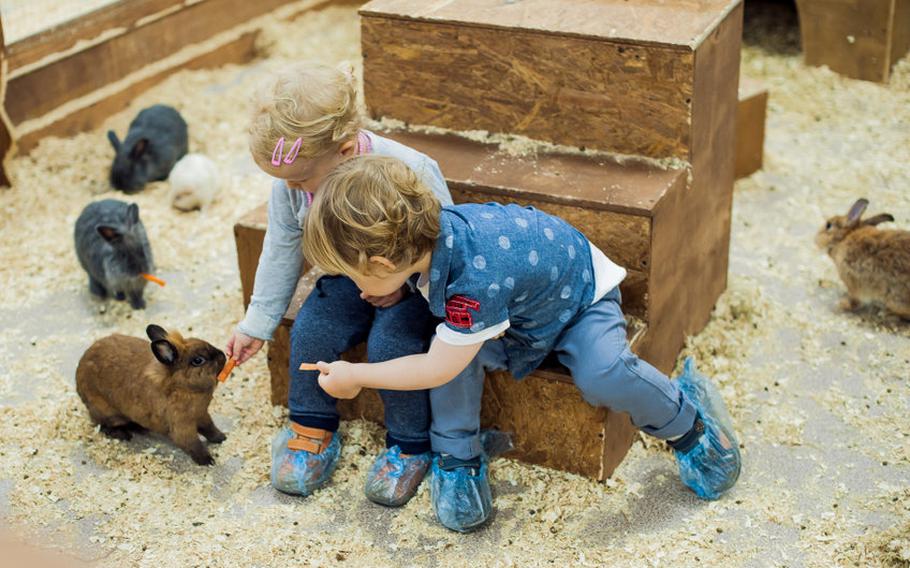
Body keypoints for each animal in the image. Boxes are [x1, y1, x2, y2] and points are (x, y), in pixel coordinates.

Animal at [76, 324, 230, 466]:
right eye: (198, 360)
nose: (222, 355)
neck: (180, 387)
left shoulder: (202, 415)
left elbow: (209, 428)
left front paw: (222, 438)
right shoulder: (182, 427)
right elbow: (193, 444)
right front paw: (208, 460)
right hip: (105, 411)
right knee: (103, 426)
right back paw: (124, 434)